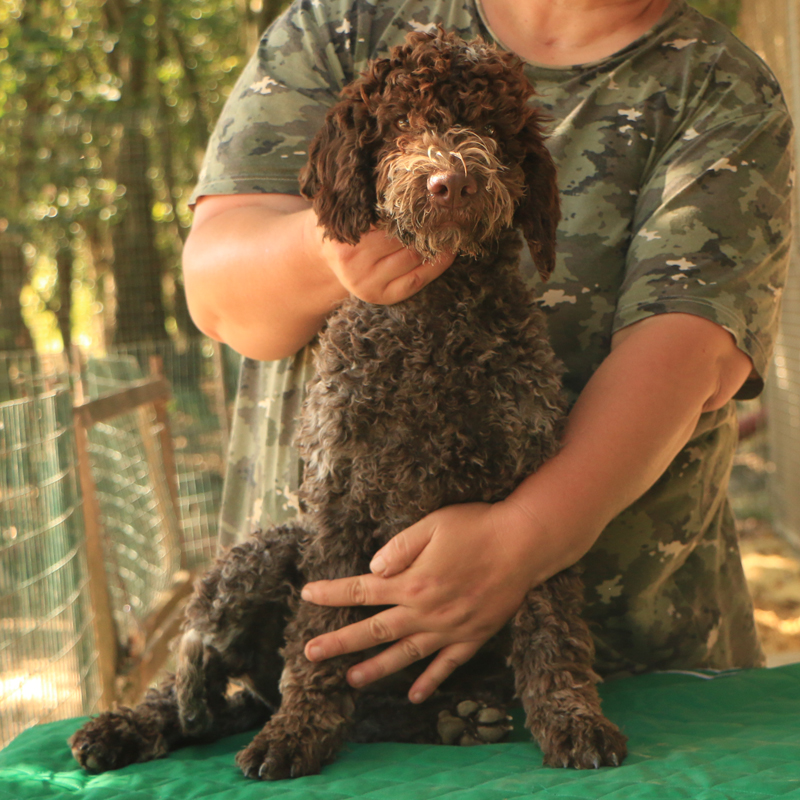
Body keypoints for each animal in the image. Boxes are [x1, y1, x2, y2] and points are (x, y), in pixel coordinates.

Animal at [69, 26, 628, 780]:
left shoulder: (528, 490)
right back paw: (135, 722)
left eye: (490, 126)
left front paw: (571, 716)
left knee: (344, 706)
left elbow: (552, 623)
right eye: (401, 123)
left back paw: (451, 718)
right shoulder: (338, 497)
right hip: (268, 549)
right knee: (202, 679)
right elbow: (318, 639)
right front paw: (299, 729)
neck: (436, 323)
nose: (449, 181)